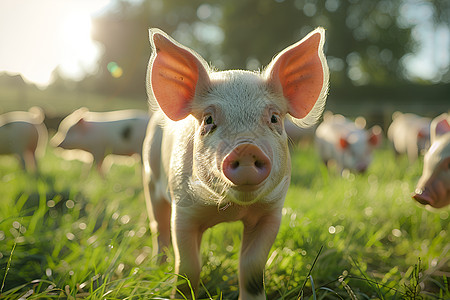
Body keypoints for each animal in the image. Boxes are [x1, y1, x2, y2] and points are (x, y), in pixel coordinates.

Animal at [142, 27, 328, 298]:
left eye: (274, 118)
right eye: (208, 119)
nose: (246, 148)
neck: (232, 209)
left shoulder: (271, 213)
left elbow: (251, 267)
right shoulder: (183, 210)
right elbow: (188, 267)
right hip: (149, 177)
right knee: (159, 227)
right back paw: (157, 266)